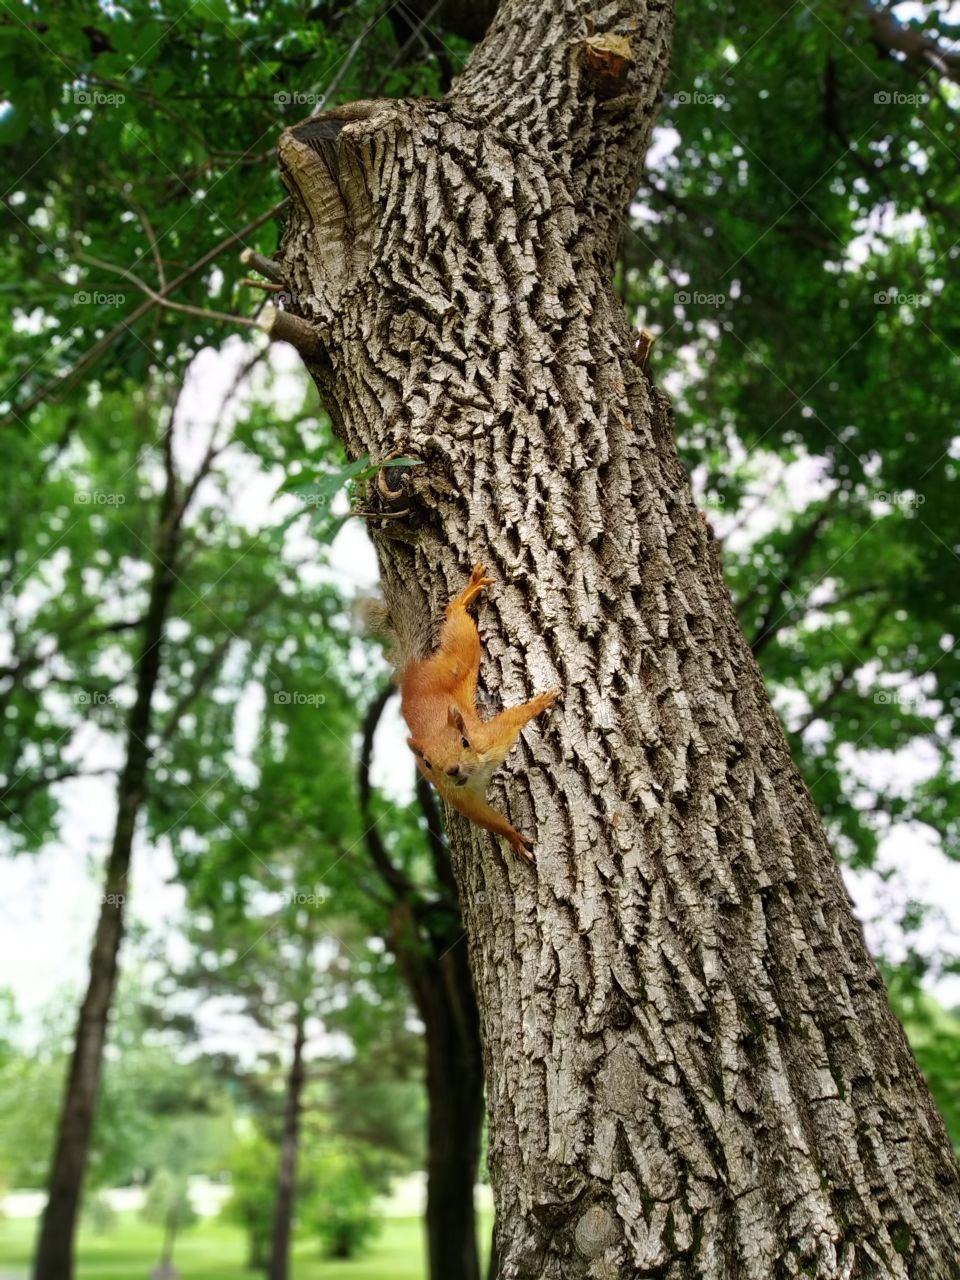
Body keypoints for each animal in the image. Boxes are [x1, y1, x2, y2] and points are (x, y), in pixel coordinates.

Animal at [378, 563, 559, 862]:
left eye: (465, 742)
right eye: (427, 763)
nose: (452, 770)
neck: (474, 773)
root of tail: (411, 678)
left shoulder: (490, 739)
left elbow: (512, 718)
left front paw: (540, 703)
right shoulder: (460, 798)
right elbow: (486, 819)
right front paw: (513, 838)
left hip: (460, 655)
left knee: (457, 623)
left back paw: (465, 595)